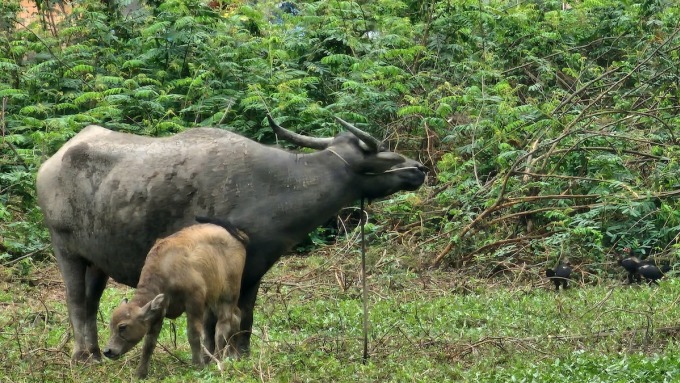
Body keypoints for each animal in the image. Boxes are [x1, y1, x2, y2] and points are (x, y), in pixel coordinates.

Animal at [37, 115, 424, 364]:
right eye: (381, 157)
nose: (419, 169)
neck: (278, 186)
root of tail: (51, 163)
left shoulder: (253, 269)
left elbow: (246, 314)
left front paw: (240, 355)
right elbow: (215, 318)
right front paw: (213, 356)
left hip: (96, 261)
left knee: (90, 303)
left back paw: (92, 351)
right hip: (65, 250)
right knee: (76, 301)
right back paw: (83, 357)